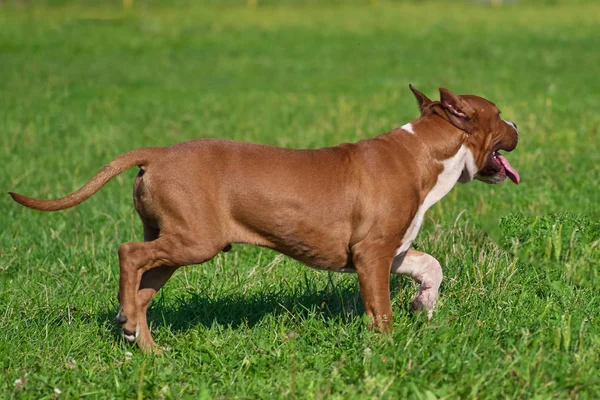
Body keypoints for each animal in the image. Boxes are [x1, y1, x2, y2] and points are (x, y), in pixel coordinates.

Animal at [7, 86, 516, 350]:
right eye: (499, 113)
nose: (517, 127)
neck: (423, 151)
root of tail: (158, 153)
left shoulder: (389, 251)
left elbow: (432, 266)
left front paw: (425, 303)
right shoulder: (372, 255)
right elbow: (381, 309)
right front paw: (387, 347)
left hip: (173, 242)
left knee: (142, 285)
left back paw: (140, 337)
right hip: (195, 240)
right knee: (128, 252)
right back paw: (131, 323)